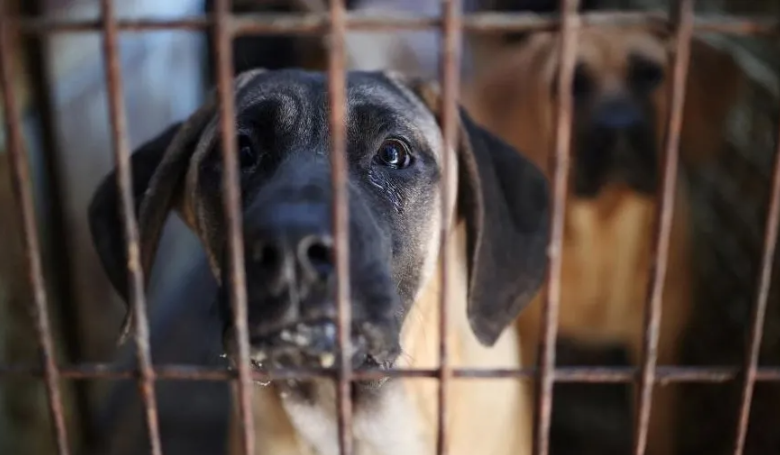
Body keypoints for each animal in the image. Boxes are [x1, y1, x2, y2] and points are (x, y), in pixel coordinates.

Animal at [464, 27, 744, 455]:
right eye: (571, 84)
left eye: (649, 73)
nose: (618, 129)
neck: (604, 231)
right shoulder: (529, 347)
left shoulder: (657, 355)